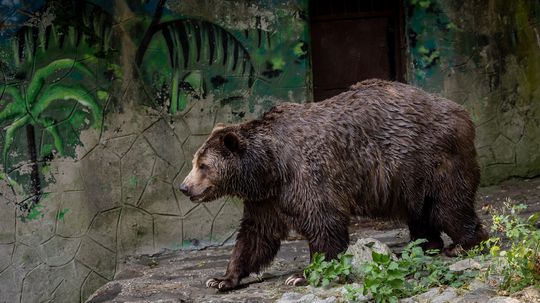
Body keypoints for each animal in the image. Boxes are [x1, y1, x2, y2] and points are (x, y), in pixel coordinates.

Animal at [179, 79, 488, 292]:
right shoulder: (266, 198)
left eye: (203, 165)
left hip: (431, 157)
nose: (184, 187)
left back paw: (461, 244)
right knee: (420, 213)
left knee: (448, 205)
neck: (270, 166)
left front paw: (301, 275)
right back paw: (418, 247)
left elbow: (323, 221)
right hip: (410, 178)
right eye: (195, 160)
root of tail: (462, 112)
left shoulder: (306, 174)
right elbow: (256, 235)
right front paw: (222, 278)